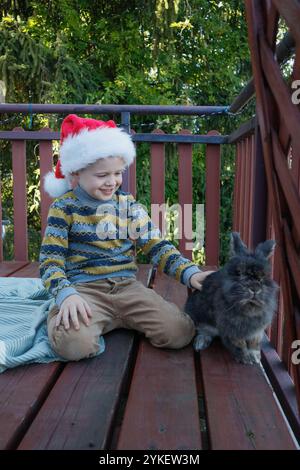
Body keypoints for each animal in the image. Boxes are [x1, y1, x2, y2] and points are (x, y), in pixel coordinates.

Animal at [184, 233, 280, 366]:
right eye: (240, 274)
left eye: (262, 277)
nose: (254, 289)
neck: (248, 305)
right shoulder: (231, 327)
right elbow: (239, 343)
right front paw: (245, 358)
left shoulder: (257, 329)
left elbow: (254, 343)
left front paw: (255, 357)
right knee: (203, 331)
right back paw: (200, 343)